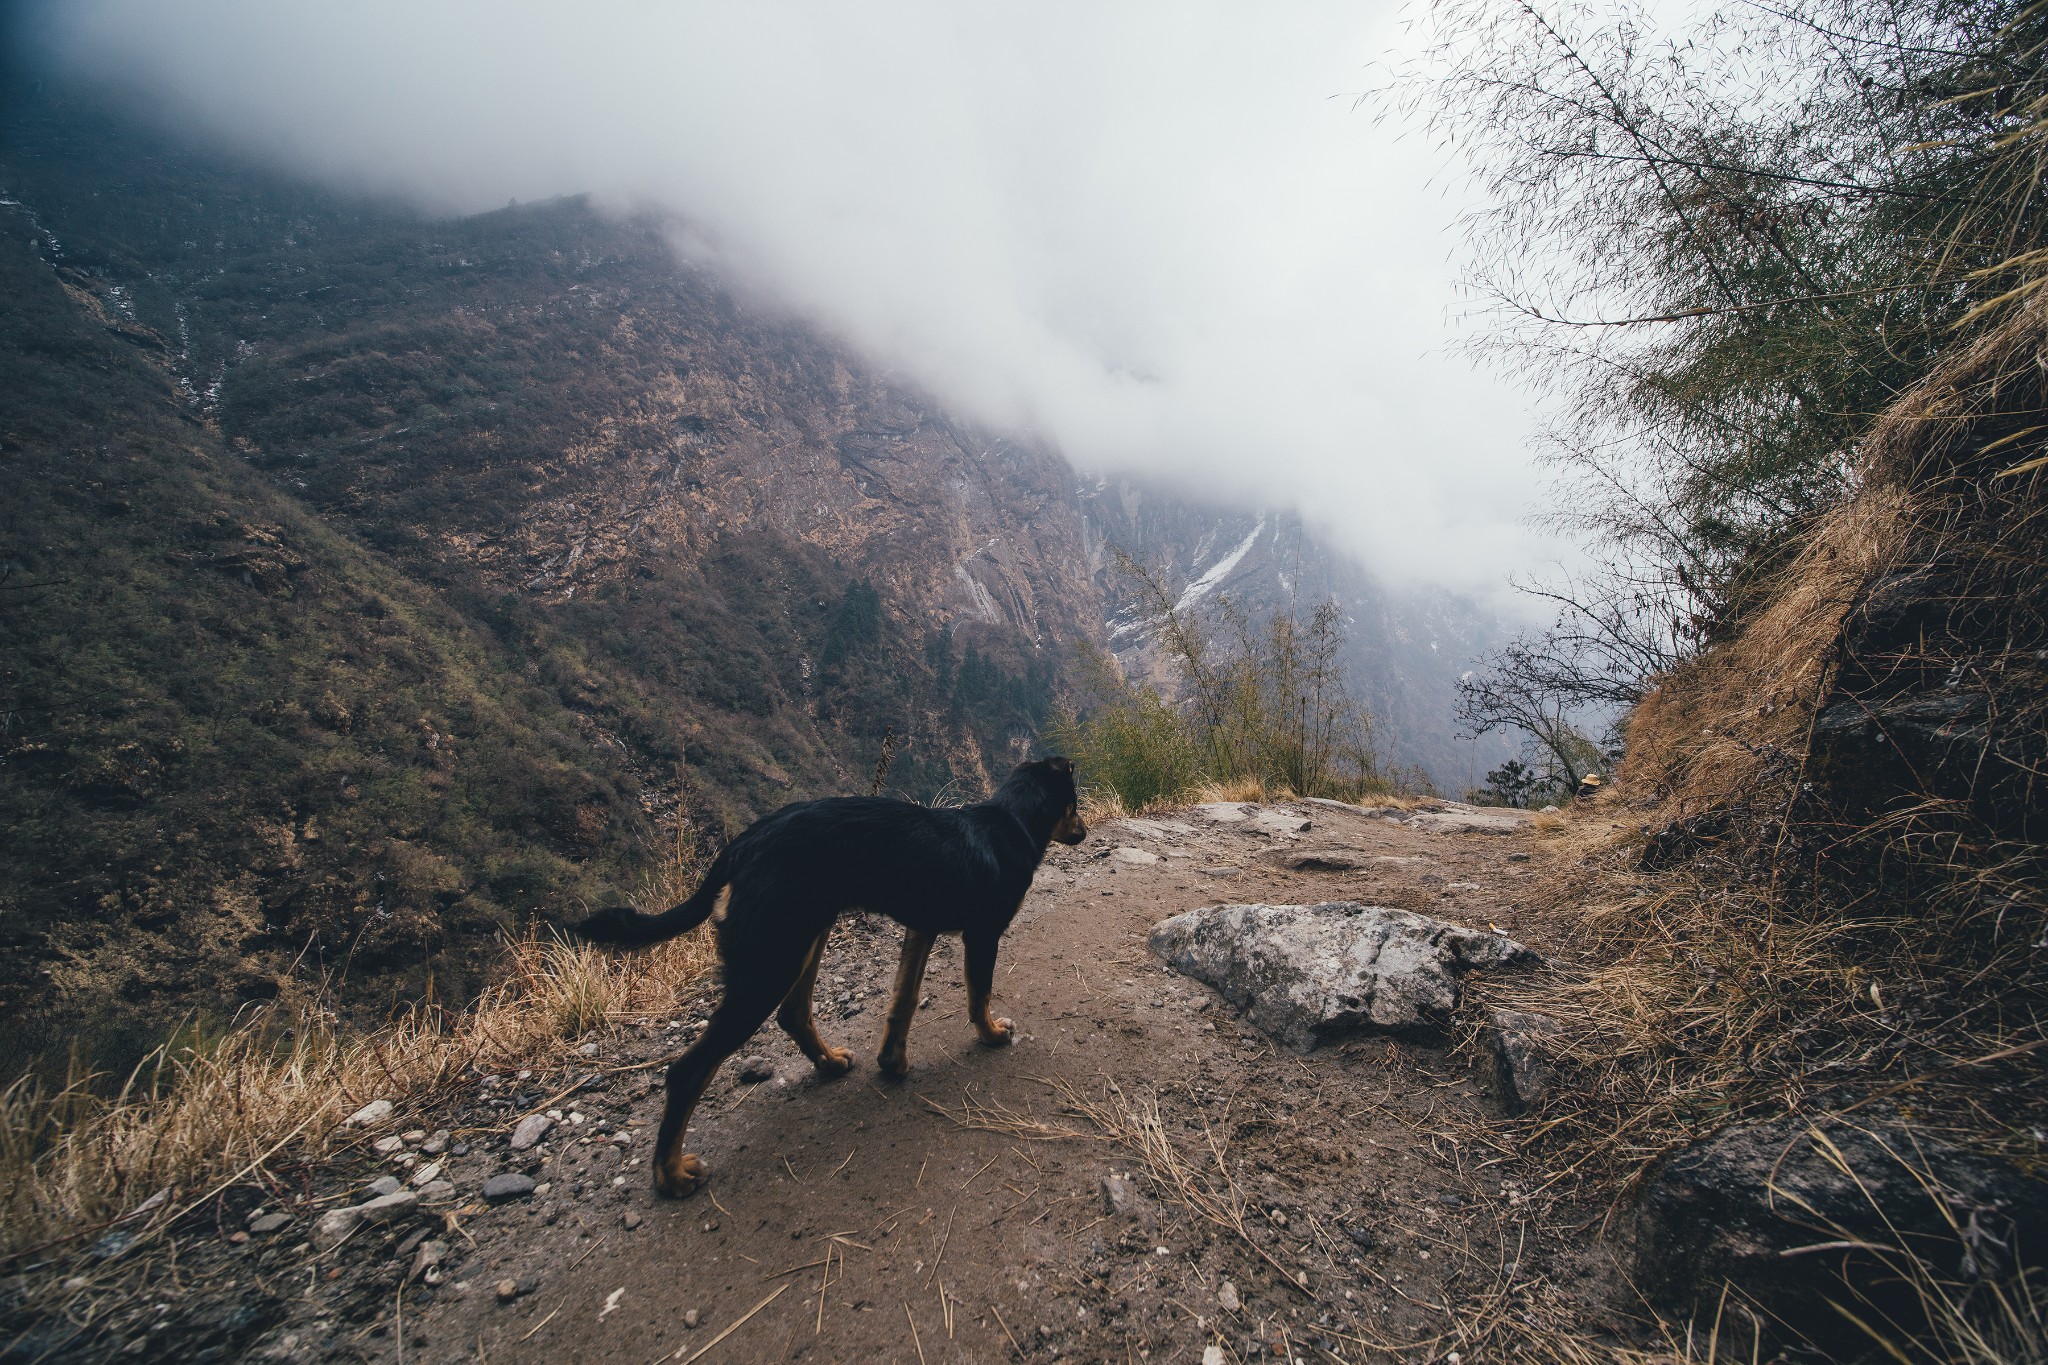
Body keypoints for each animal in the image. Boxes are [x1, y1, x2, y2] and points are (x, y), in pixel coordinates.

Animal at [577, 757, 1089, 1195]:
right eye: (1075, 803)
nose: (1084, 832)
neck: (1012, 820)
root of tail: (740, 846)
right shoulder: (983, 933)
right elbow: (978, 994)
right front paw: (992, 1033)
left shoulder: (920, 927)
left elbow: (903, 1002)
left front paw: (893, 1061)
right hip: (771, 960)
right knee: (688, 1070)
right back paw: (671, 1174)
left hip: (802, 935)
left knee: (793, 1013)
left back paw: (827, 1062)